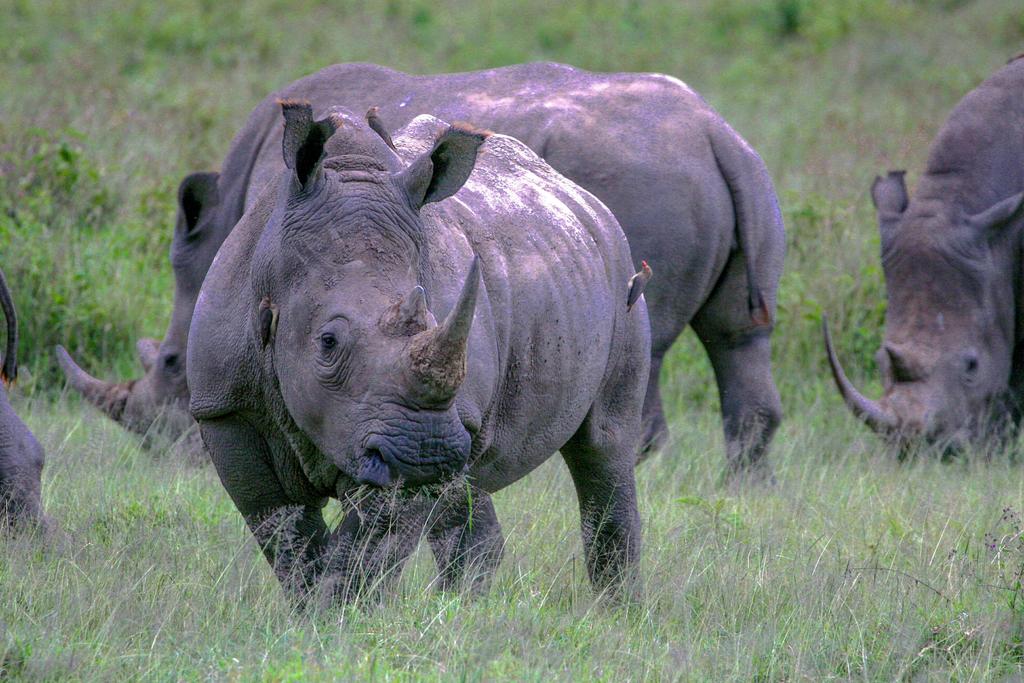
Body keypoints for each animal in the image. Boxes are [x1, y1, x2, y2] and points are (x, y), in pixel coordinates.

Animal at [62, 62, 785, 475]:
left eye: (171, 363)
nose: (165, 455)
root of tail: (717, 133)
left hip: (643, 183)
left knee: (653, 347)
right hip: (742, 180)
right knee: (739, 338)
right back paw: (740, 492)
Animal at [187, 104, 651, 599]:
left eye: (432, 320)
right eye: (328, 342)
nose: (427, 455)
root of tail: (584, 199)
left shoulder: (410, 439)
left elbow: (366, 554)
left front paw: (343, 612)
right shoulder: (225, 407)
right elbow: (287, 536)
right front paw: (311, 606)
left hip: (620, 275)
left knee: (604, 445)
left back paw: (616, 607)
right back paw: (467, 606)